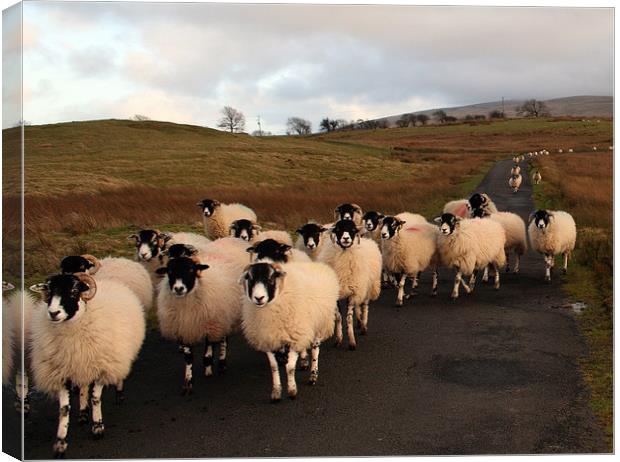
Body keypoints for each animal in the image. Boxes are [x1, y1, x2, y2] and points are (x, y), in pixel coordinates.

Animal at [30, 272, 145, 456]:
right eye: (49, 291)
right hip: (83, 367)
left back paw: (119, 393)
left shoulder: (102, 367)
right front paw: (60, 443)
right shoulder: (62, 373)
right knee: (84, 386)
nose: (53, 313)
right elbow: (64, 408)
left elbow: (96, 398)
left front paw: (98, 427)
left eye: (74, 291)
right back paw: (83, 413)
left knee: (119, 374)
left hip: (118, 355)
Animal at [156, 253, 243, 394]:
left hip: (224, 316)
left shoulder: (211, 324)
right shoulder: (184, 329)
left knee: (223, 340)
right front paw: (188, 382)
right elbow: (188, 358)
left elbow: (208, 351)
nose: (178, 288)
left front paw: (208, 367)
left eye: (191, 270)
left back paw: (221, 364)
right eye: (169, 271)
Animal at [241, 260, 340, 400]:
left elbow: (290, 368)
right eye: (249, 278)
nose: (259, 298)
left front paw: (292, 390)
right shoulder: (269, 338)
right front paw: (276, 392)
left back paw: (313, 375)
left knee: (315, 351)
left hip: (318, 324)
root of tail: (316, 264)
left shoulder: (295, 336)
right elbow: (274, 367)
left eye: (271, 278)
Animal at [320, 218, 382, 348]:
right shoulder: (338, 292)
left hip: (366, 287)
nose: (346, 238)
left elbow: (348, 318)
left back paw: (363, 325)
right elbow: (339, 317)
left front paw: (352, 342)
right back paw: (359, 321)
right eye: (338, 229)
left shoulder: (353, 292)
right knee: (358, 306)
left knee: (365, 306)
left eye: (353, 230)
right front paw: (338, 339)